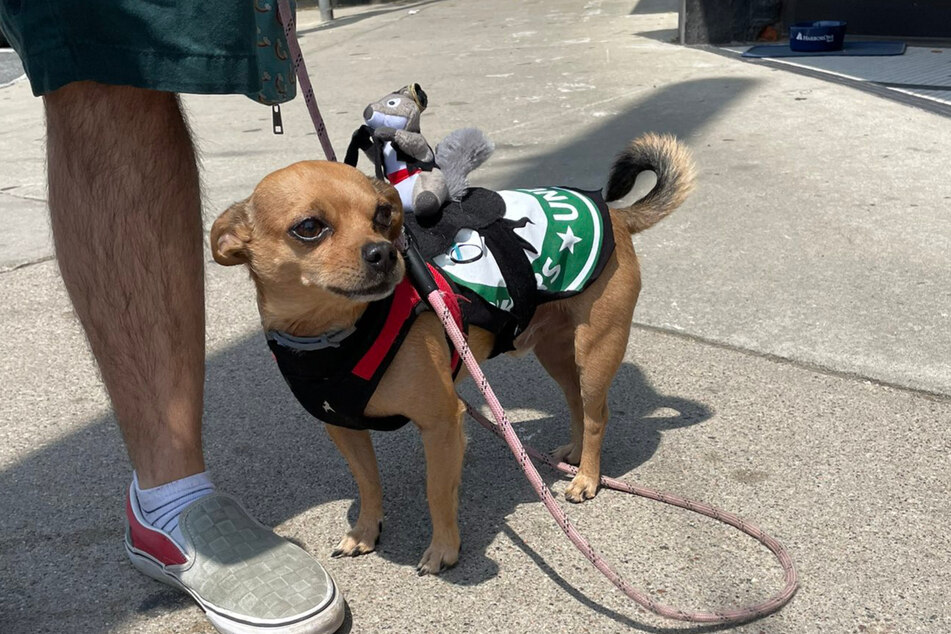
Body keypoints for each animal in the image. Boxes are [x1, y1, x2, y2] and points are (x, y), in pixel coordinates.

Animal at [212, 132, 696, 572]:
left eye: (381, 214)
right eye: (309, 228)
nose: (384, 252)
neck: (335, 334)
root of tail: (614, 213)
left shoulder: (442, 424)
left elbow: (436, 491)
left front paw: (444, 549)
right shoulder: (344, 428)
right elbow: (368, 484)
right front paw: (365, 531)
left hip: (595, 352)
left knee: (596, 414)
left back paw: (588, 477)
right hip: (556, 353)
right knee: (575, 402)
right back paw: (575, 456)